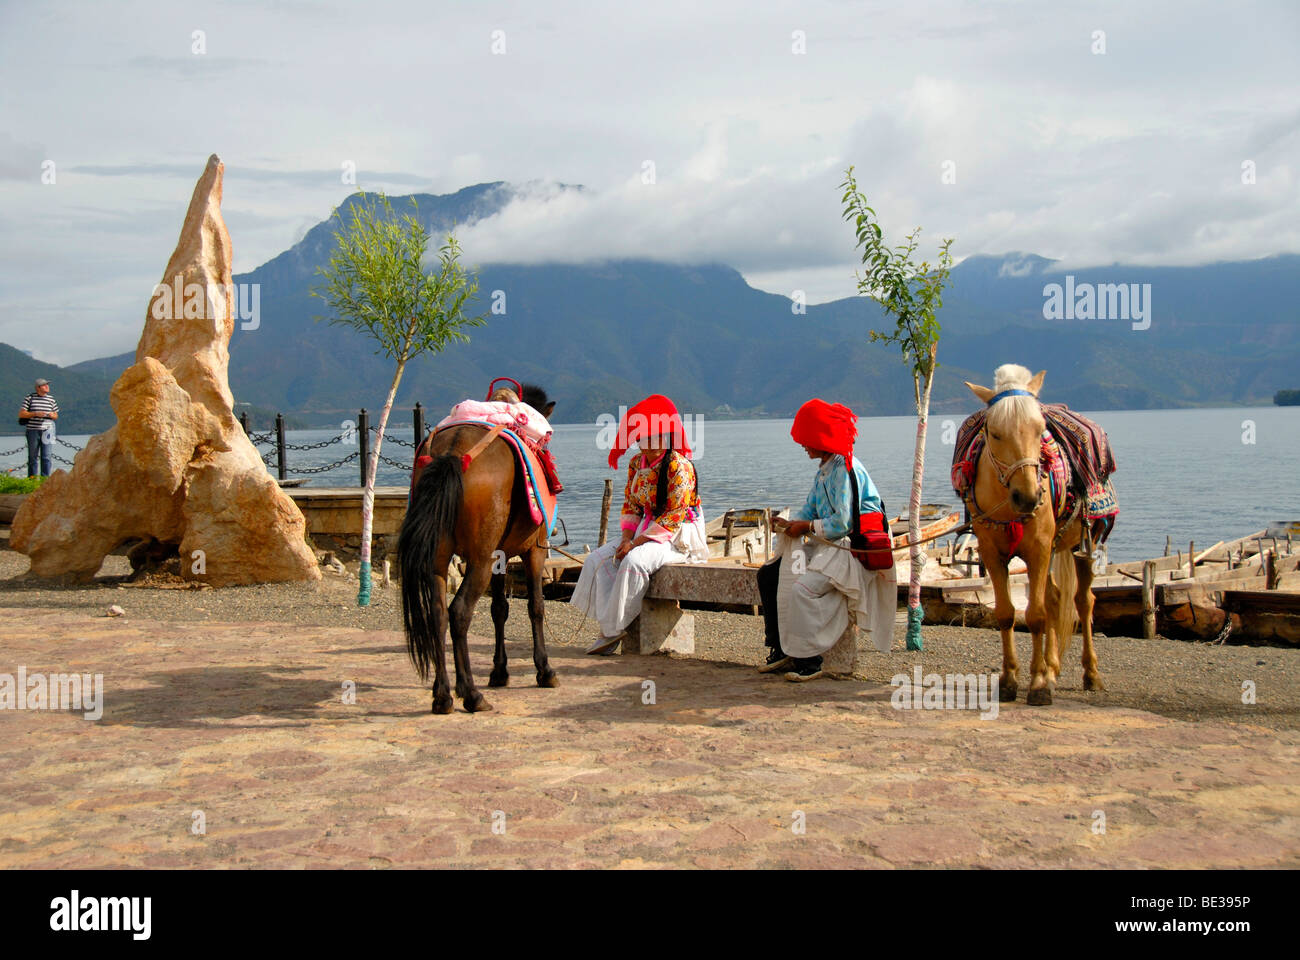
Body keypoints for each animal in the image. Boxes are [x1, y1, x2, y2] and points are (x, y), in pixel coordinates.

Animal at [395, 382, 559, 712]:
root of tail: (453, 454)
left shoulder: (499, 557)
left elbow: (499, 609)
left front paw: (499, 670)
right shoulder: (533, 551)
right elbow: (536, 606)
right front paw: (544, 669)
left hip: (439, 559)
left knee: (438, 614)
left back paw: (443, 694)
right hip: (479, 561)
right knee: (458, 612)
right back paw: (470, 693)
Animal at [961, 364, 1102, 702]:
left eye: (1040, 430)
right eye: (995, 432)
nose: (1028, 497)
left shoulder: (1038, 549)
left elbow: (1036, 615)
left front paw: (1037, 684)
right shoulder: (992, 553)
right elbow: (1006, 613)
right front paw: (1010, 680)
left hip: (1085, 543)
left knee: (1083, 601)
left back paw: (1090, 673)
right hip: (1054, 549)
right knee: (1055, 598)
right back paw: (1052, 667)